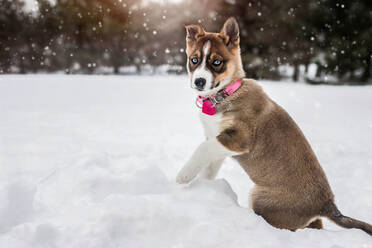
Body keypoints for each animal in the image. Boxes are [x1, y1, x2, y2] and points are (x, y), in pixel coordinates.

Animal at [176, 17, 372, 234]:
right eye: (194, 60)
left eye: (217, 62)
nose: (199, 82)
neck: (225, 94)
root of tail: (326, 205)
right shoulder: (217, 142)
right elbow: (208, 168)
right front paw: (203, 187)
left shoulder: (239, 138)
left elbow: (201, 149)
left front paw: (183, 175)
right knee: (314, 225)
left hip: (261, 198)